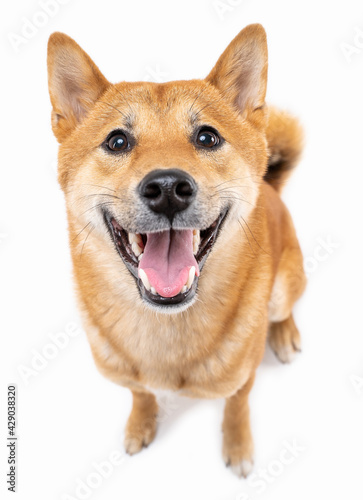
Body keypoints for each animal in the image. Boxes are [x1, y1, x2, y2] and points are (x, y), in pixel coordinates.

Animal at [47, 25, 306, 478]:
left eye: (207, 137)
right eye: (117, 141)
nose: (167, 187)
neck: (165, 328)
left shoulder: (243, 376)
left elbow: (237, 405)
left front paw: (237, 444)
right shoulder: (128, 377)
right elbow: (140, 394)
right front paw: (141, 422)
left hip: (283, 286)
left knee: (283, 307)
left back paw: (285, 332)